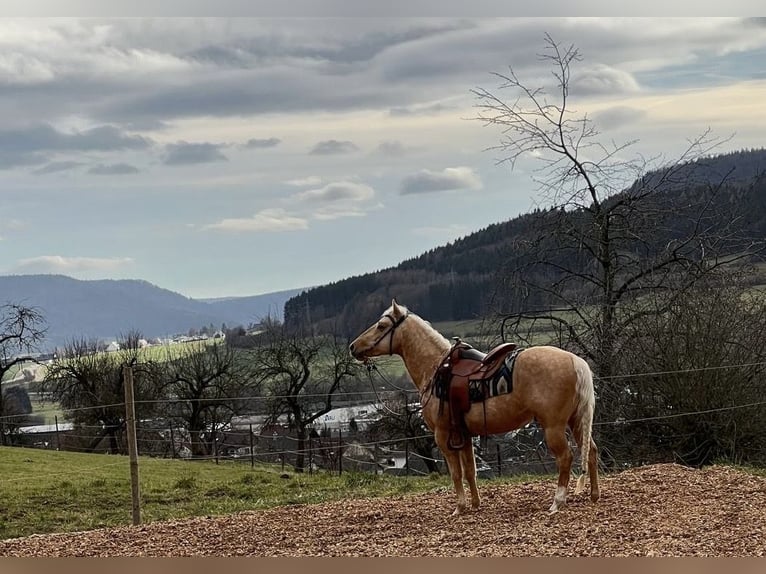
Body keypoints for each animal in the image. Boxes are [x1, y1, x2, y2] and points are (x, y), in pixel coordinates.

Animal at [352, 302, 604, 516]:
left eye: (381, 326)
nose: (353, 347)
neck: (436, 369)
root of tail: (575, 361)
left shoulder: (443, 436)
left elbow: (456, 473)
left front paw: (459, 507)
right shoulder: (463, 435)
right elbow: (470, 471)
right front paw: (475, 504)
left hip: (554, 427)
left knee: (565, 457)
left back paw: (557, 502)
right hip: (576, 421)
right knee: (591, 450)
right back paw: (594, 495)